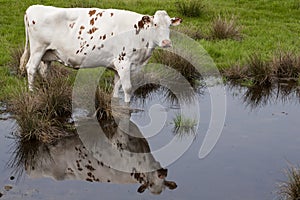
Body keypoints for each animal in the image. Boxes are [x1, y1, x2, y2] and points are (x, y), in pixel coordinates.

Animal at [19, 5, 183, 102]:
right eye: (155, 24)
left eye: (170, 25)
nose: (166, 42)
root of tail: (33, 7)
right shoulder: (124, 62)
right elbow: (128, 88)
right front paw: (128, 108)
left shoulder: (118, 66)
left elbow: (117, 86)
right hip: (38, 49)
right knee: (31, 68)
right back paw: (32, 93)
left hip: (48, 53)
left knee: (43, 70)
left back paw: (48, 89)